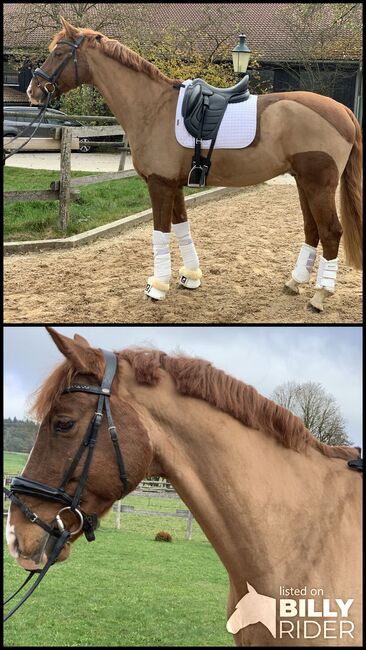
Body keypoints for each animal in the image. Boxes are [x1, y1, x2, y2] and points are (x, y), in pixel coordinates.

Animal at [27, 15, 362, 308]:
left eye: (58, 53)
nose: (33, 90)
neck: (153, 107)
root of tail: (344, 112)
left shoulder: (160, 185)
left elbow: (161, 233)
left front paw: (157, 287)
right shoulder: (174, 185)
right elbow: (181, 228)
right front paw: (190, 277)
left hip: (318, 185)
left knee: (331, 232)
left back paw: (320, 295)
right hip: (303, 183)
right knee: (312, 229)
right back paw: (295, 282)